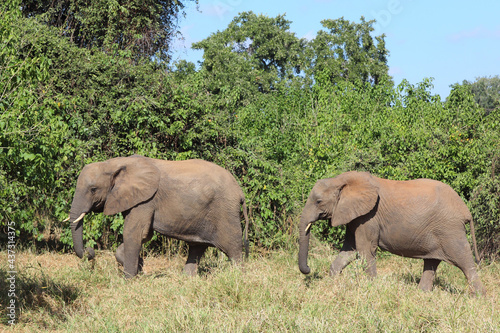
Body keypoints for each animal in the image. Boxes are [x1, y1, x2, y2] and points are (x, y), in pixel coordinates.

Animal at [63, 156, 249, 278]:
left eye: (93, 189)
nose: (91, 250)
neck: (114, 163)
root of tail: (240, 192)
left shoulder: (146, 200)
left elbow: (135, 233)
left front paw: (129, 280)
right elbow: (143, 235)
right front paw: (139, 267)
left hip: (225, 212)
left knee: (233, 248)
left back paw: (237, 278)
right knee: (197, 247)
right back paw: (187, 279)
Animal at [298, 171, 482, 294]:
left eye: (318, 201)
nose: (309, 269)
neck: (340, 180)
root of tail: (466, 210)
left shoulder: (369, 216)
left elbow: (365, 250)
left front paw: (371, 288)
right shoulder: (355, 217)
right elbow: (350, 251)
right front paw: (333, 282)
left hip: (450, 230)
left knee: (465, 262)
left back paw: (479, 298)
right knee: (431, 262)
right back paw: (421, 294)